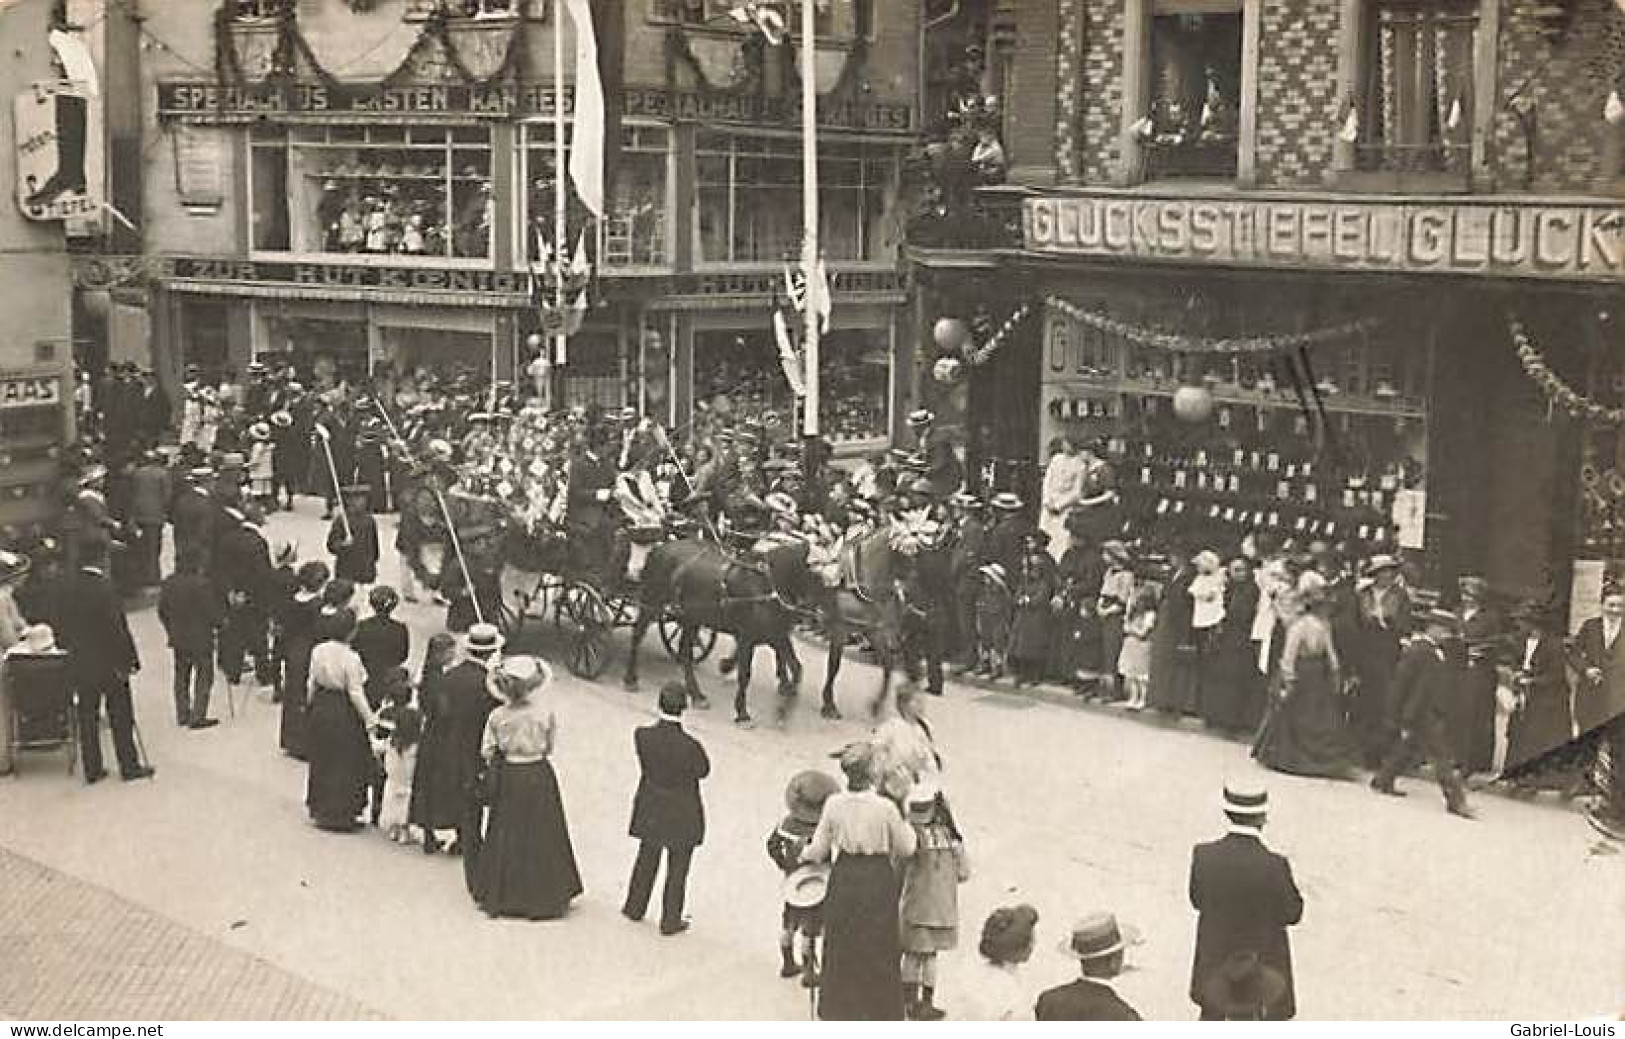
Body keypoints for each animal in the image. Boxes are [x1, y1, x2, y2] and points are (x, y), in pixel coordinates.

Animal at [624, 536, 809, 721]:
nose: (803, 615)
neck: (765, 585)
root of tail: (659, 548)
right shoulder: (747, 637)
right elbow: (745, 674)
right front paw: (743, 712)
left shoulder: (776, 634)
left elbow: (795, 666)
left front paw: (785, 703)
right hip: (653, 601)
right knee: (638, 634)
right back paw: (631, 678)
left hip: (690, 617)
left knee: (685, 653)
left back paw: (697, 695)